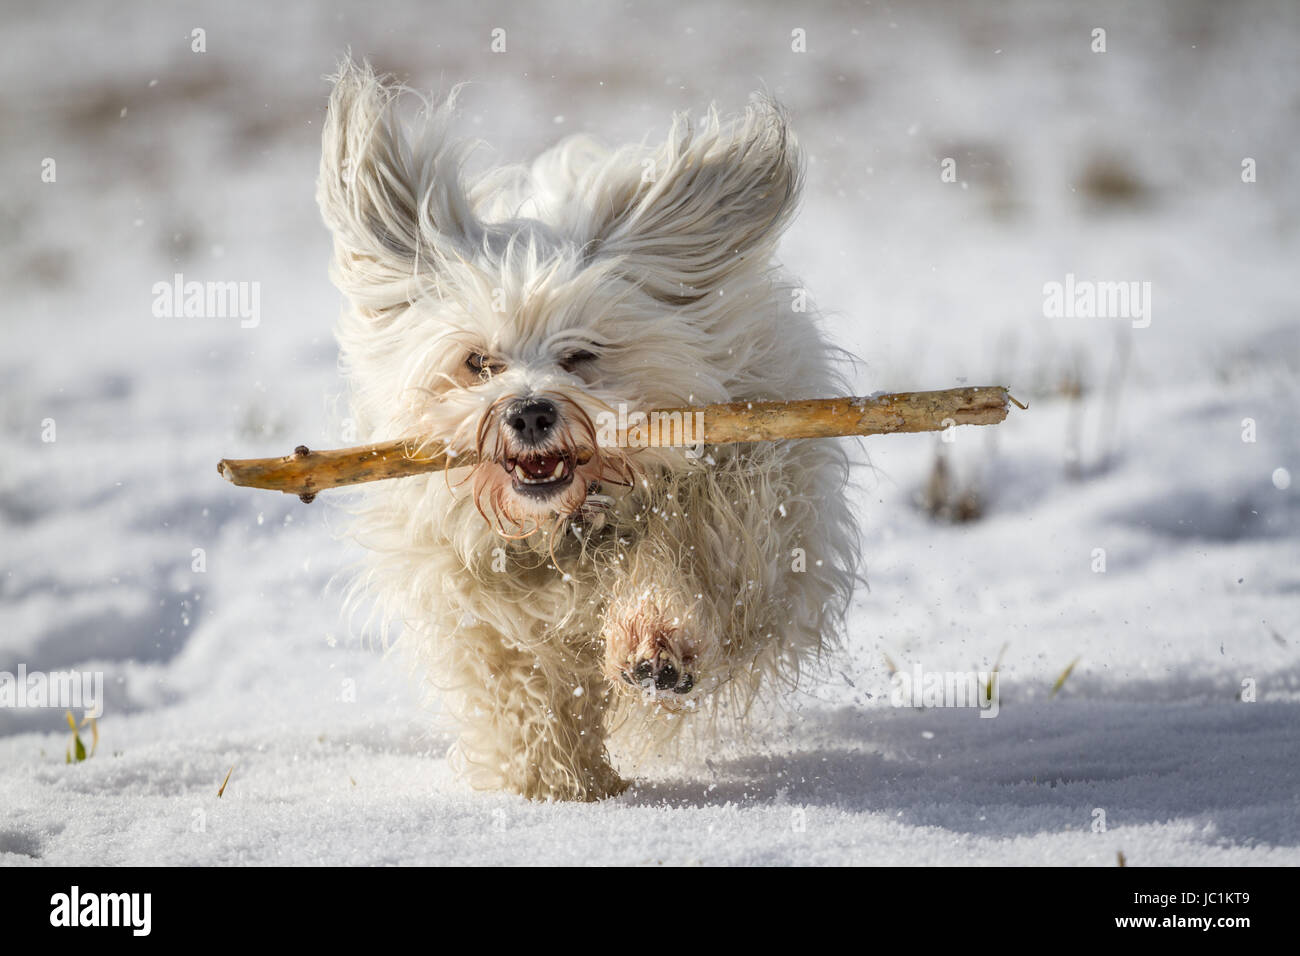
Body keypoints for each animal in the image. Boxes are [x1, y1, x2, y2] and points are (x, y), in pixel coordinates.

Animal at [318, 59, 857, 806]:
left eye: (580, 354)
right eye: (478, 362)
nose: (529, 412)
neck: (570, 525)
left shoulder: (748, 498)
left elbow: (691, 560)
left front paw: (656, 639)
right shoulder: (474, 595)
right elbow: (521, 686)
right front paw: (560, 786)